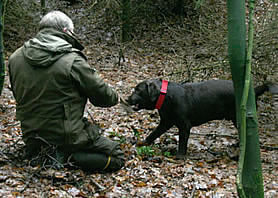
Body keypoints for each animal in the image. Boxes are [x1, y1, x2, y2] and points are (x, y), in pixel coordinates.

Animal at [128, 79, 276, 159]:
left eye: (138, 90)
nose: (127, 98)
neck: (165, 97)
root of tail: (254, 91)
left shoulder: (184, 125)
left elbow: (182, 142)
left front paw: (180, 156)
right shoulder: (165, 122)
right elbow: (153, 133)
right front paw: (143, 142)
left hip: (239, 117)